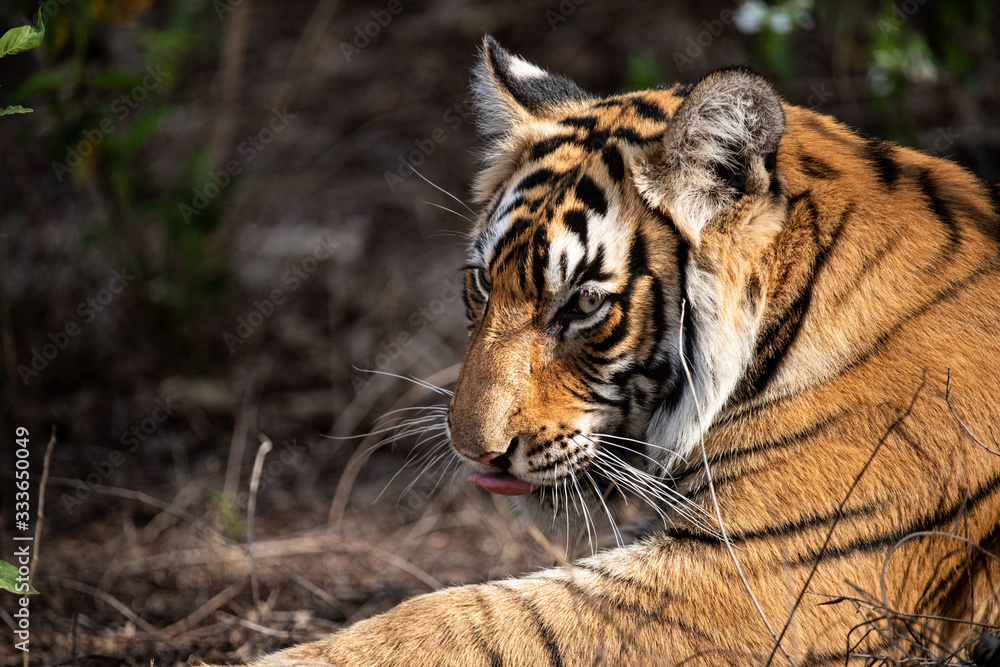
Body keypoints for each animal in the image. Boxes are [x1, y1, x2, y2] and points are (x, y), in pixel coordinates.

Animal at [244, 36, 1000, 666]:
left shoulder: (754, 578)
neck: (793, 302)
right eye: (482, 282)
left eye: (582, 304)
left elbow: (469, 620)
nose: (473, 451)